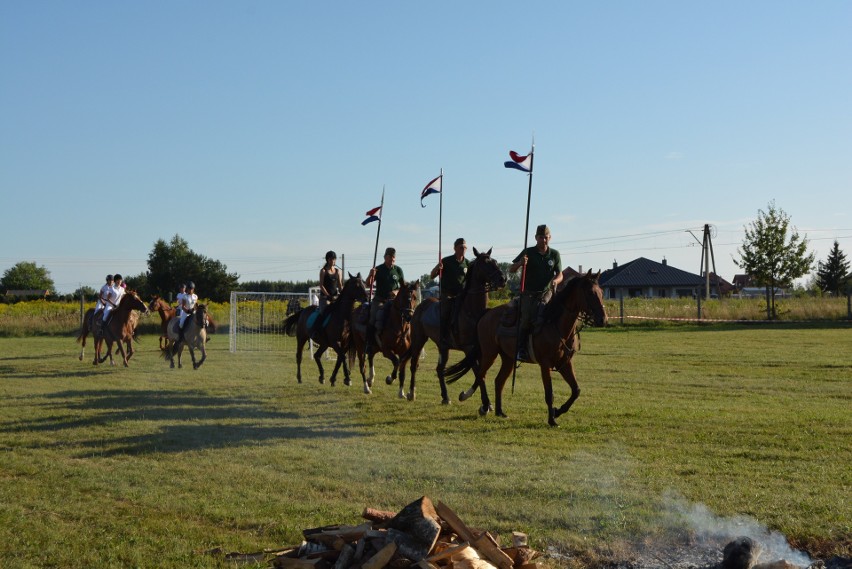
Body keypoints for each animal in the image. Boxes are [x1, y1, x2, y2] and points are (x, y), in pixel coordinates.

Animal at [398, 248, 510, 404]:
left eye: (495, 261)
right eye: (485, 263)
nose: (503, 279)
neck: (472, 311)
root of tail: (420, 307)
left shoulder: (480, 349)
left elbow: (481, 373)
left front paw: (478, 400)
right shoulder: (469, 349)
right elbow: (478, 372)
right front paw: (485, 403)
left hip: (443, 347)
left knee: (439, 369)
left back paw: (445, 397)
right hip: (419, 339)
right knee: (414, 364)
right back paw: (411, 393)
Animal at [446, 270, 604, 426]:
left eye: (601, 292)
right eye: (590, 293)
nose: (603, 319)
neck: (555, 323)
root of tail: (487, 313)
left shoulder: (565, 363)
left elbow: (576, 390)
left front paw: (557, 411)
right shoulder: (545, 364)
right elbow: (549, 394)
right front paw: (552, 419)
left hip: (508, 358)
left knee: (498, 381)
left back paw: (500, 411)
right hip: (489, 353)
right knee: (481, 375)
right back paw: (480, 404)